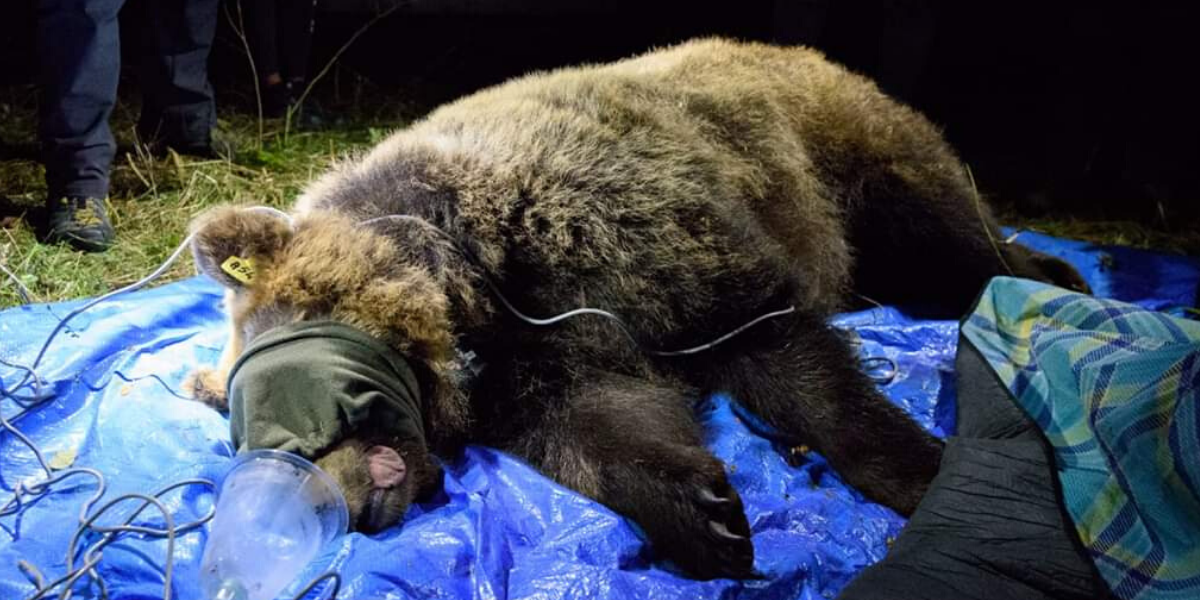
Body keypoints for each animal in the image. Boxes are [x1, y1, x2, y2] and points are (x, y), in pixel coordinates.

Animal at [183, 37, 1090, 580]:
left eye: (287, 394)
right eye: (240, 431)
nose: (339, 504)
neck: (474, 278)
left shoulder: (636, 241)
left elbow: (787, 353)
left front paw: (924, 475)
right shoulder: (544, 359)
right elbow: (608, 428)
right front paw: (709, 516)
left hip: (854, 160)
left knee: (953, 236)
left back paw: (1056, 274)